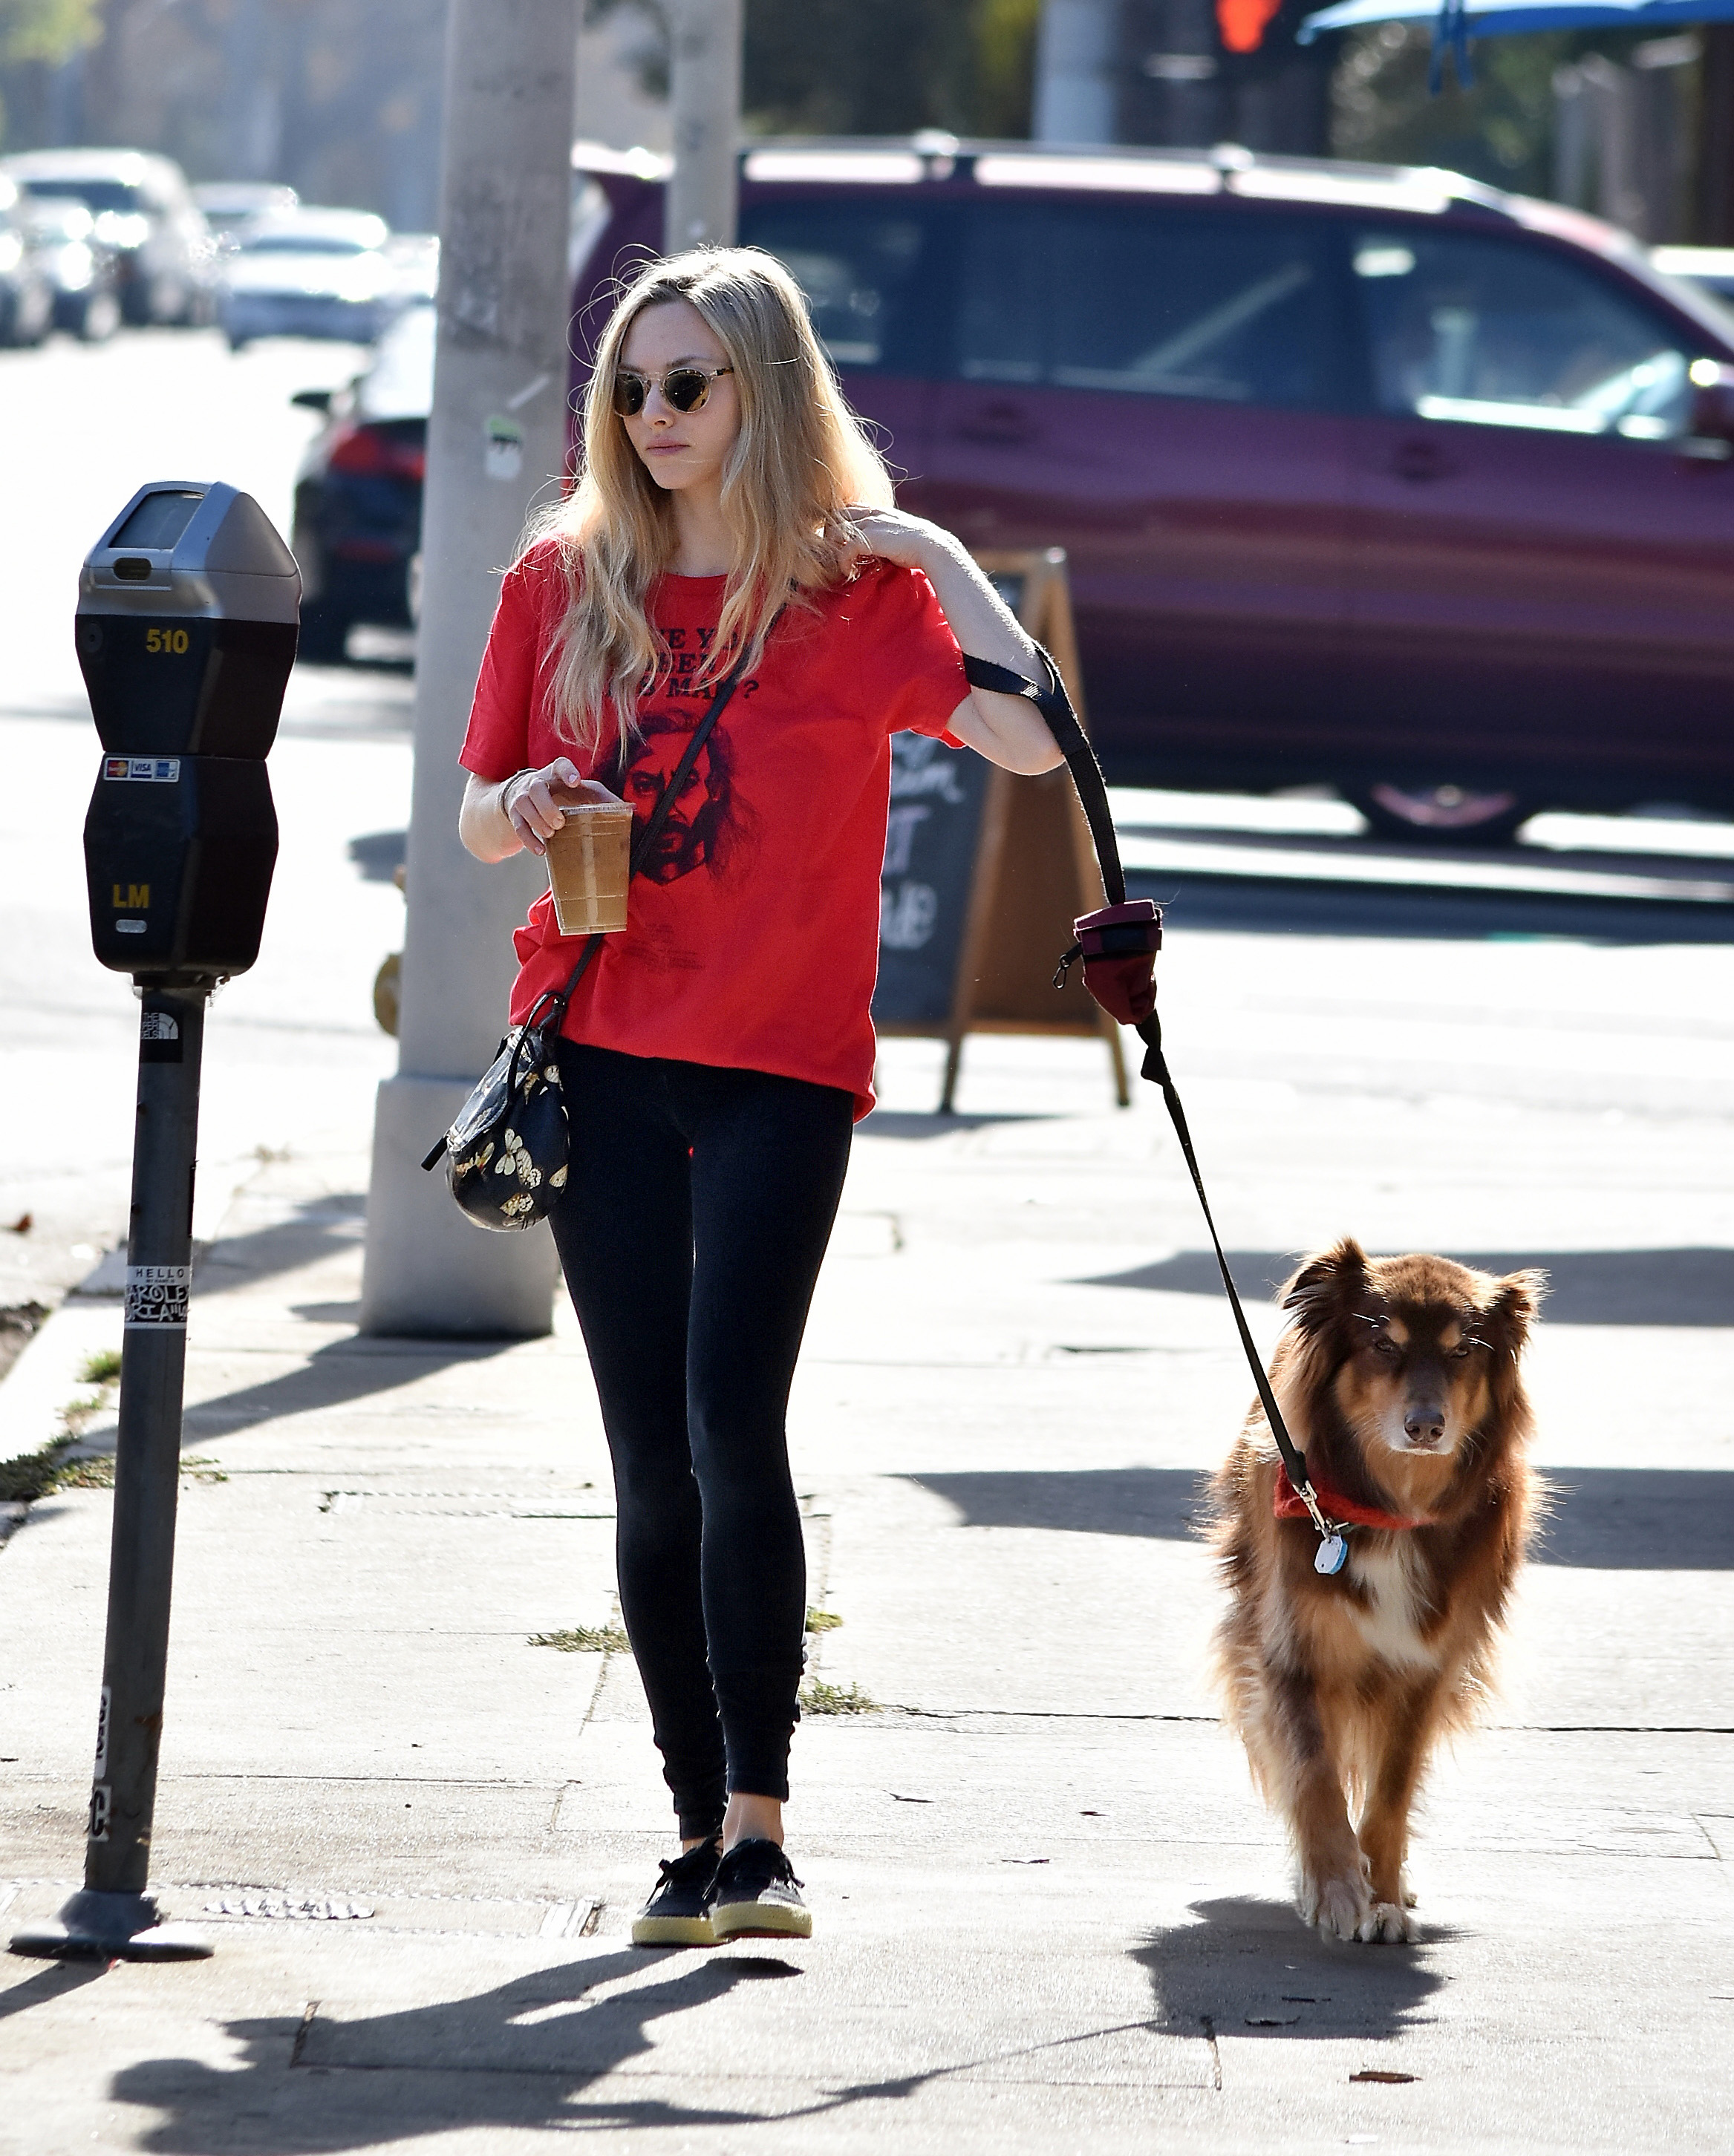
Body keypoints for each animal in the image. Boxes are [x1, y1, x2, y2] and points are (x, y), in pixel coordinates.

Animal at [1209, 1236, 1545, 1944]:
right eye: (1383, 1346)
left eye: (1461, 1352)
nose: (1426, 1426)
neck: (1392, 1509)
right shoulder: (1292, 1653)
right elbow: (1314, 1774)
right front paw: (1336, 1889)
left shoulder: (1426, 1666)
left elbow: (1391, 1789)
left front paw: (1383, 1898)